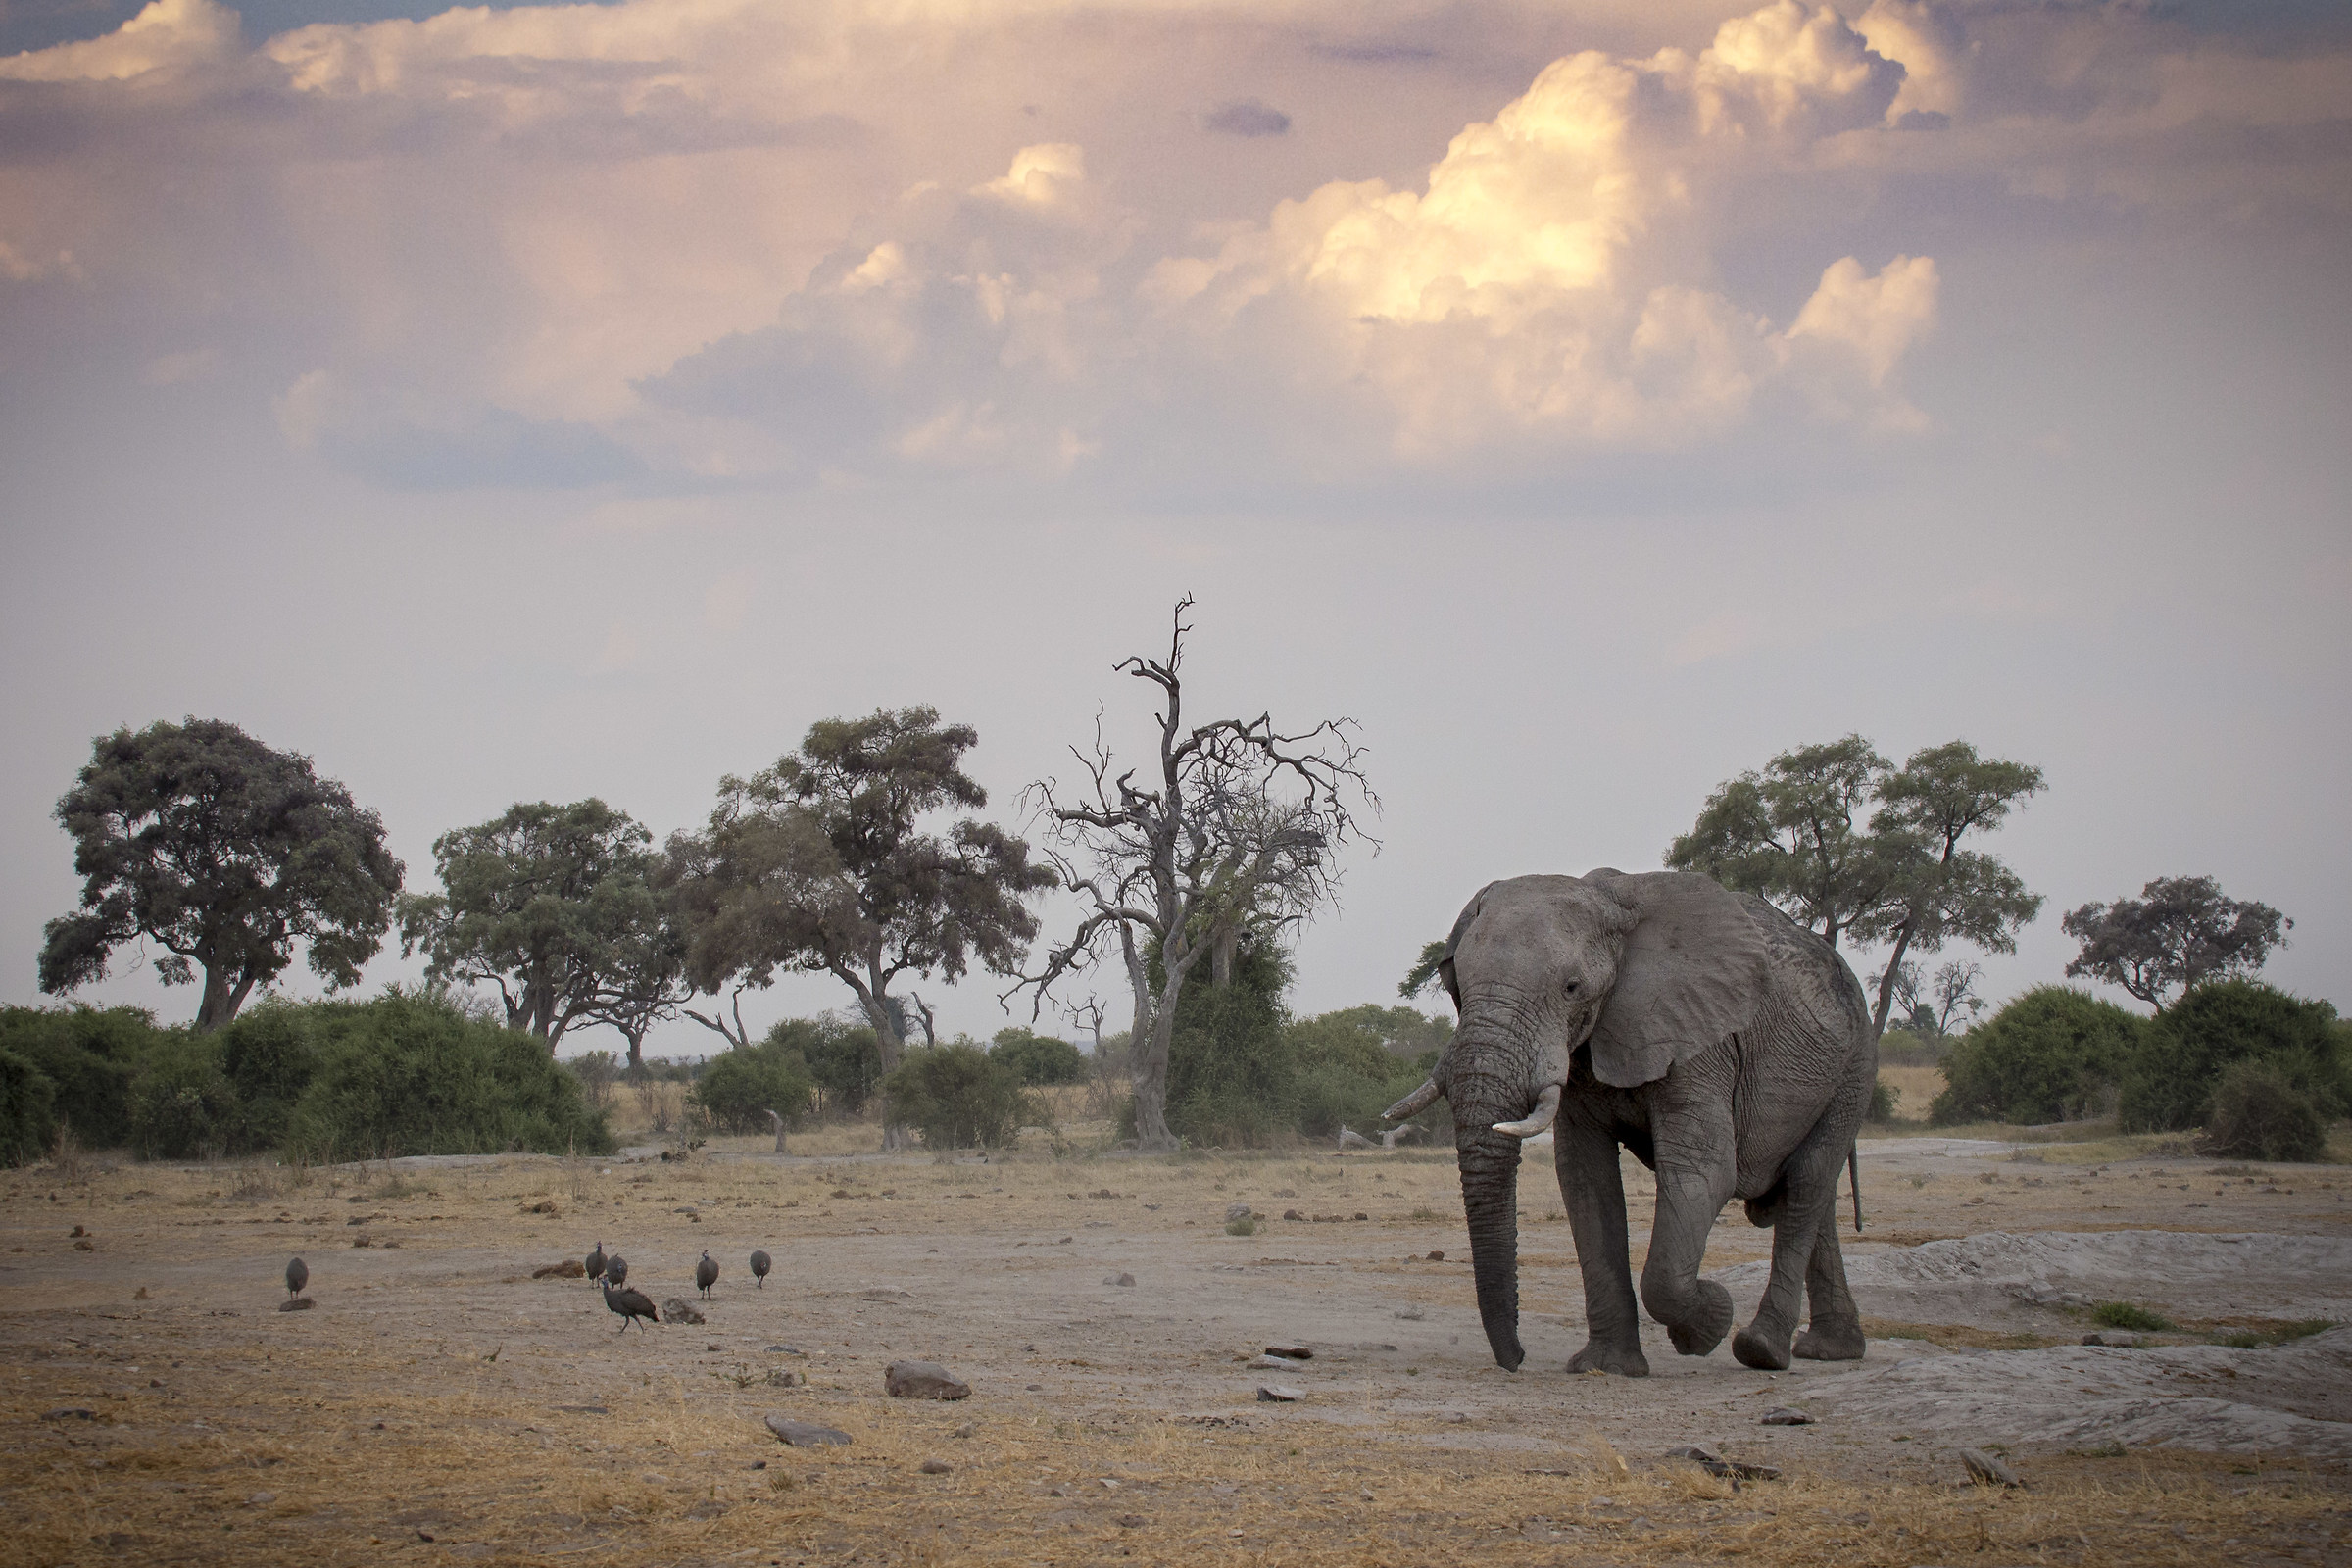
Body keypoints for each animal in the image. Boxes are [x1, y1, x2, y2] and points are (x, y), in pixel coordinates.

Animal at [1382, 869, 1876, 1377]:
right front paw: (1608, 1366)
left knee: (1807, 1184)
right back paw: (1829, 1349)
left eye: (1572, 988)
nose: (1517, 1360)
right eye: (1459, 988)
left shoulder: (1699, 1040)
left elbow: (1706, 1172)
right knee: (1814, 1197)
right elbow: (1585, 1178)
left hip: (1854, 1069)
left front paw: (1707, 1323)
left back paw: (1762, 1349)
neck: (1612, 905)